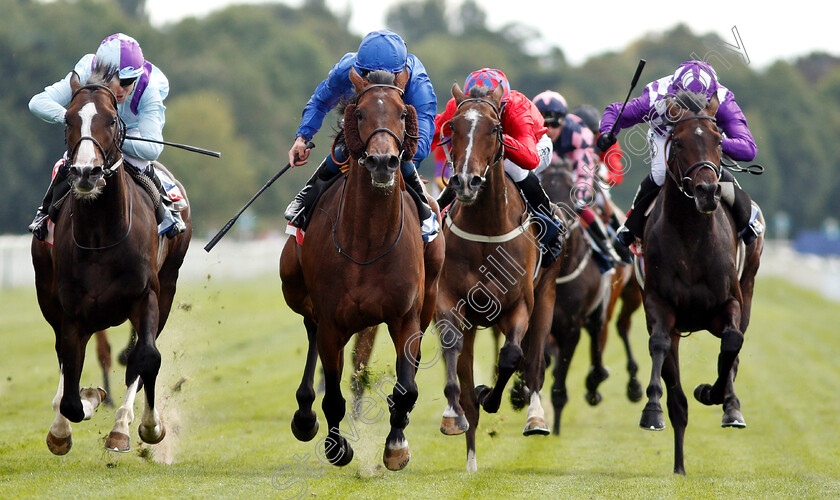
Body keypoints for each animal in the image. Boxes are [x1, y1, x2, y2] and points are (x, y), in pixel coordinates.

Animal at [30, 61, 192, 454]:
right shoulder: (72, 309)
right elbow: (72, 391)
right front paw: (83, 404)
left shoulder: (146, 296)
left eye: (111, 120)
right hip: (48, 292)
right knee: (64, 357)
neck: (101, 233)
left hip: (168, 286)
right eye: (69, 119)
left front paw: (142, 427)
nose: (85, 172)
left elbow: (146, 357)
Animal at [278, 68, 446, 470]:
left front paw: (396, 443)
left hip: (429, 297)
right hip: (294, 286)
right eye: (359, 113)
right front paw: (336, 446)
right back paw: (304, 415)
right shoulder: (332, 321)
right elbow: (333, 396)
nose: (383, 162)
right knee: (310, 329)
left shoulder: (405, 317)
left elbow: (407, 387)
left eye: (403, 113)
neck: (368, 242)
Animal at [434, 82, 564, 472]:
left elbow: (511, 356)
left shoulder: (519, 305)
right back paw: (470, 455)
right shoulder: (450, 301)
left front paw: (490, 395)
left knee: (534, 360)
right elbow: (452, 351)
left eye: (494, 129)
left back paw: (535, 417)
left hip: (546, 296)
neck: (486, 229)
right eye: (453, 128)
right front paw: (454, 414)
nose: (465, 181)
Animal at [640, 91, 764, 476]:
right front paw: (652, 410)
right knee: (676, 397)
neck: (692, 237)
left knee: (735, 349)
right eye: (678, 142)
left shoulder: (729, 303)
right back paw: (679, 465)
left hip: (749, 286)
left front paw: (714, 394)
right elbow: (659, 345)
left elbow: (733, 343)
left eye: (719, 141)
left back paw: (731, 406)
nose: (707, 190)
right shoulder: (659, 305)